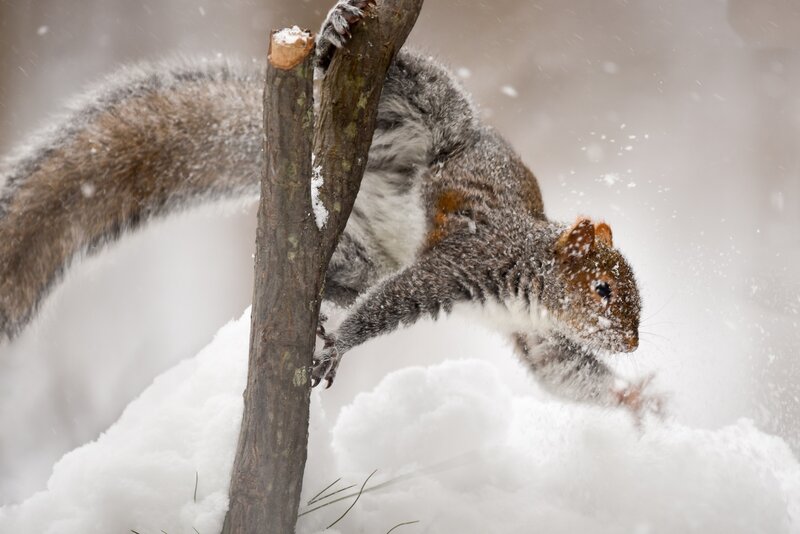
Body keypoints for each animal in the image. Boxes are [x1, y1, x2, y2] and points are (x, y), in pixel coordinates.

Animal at [0, 0, 661, 417]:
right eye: (603, 288)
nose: (631, 343)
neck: (529, 271)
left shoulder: (537, 335)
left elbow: (564, 374)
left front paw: (636, 398)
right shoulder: (467, 259)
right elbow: (394, 303)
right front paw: (343, 344)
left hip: (363, 250)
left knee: (358, 277)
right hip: (429, 116)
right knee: (410, 82)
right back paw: (331, 33)